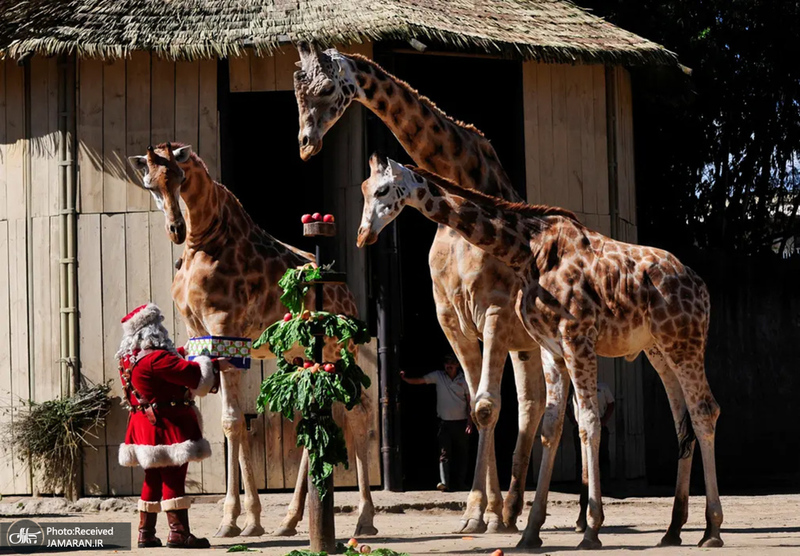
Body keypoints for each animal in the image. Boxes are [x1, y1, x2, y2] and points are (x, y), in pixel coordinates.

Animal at [129, 142, 382, 540]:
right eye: (150, 184)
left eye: (180, 178)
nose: (176, 229)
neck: (205, 241)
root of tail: (346, 292)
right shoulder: (200, 335)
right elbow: (230, 422)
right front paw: (251, 519)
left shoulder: (225, 327)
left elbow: (232, 422)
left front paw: (232, 520)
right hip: (299, 352)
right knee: (312, 409)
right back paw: (290, 520)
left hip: (339, 347)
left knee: (358, 411)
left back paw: (365, 519)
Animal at [296, 41, 548, 532]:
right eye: (297, 91)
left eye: (327, 88)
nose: (305, 145)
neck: (467, 176)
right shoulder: (451, 319)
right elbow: (478, 406)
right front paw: (480, 512)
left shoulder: (494, 311)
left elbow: (488, 406)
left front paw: (482, 513)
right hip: (523, 345)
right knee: (533, 403)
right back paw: (511, 511)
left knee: (543, 406)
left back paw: (534, 513)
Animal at [356, 154, 724, 548]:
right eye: (363, 189)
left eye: (383, 190)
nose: (364, 235)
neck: (526, 250)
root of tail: (701, 286)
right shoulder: (552, 349)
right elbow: (551, 427)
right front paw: (530, 532)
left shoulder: (577, 337)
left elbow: (589, 422)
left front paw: (591, 529)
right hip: (659, 349)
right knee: (683, 421)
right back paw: (673, 529)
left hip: (685, 341)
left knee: (705, 411)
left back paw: (712, 529)